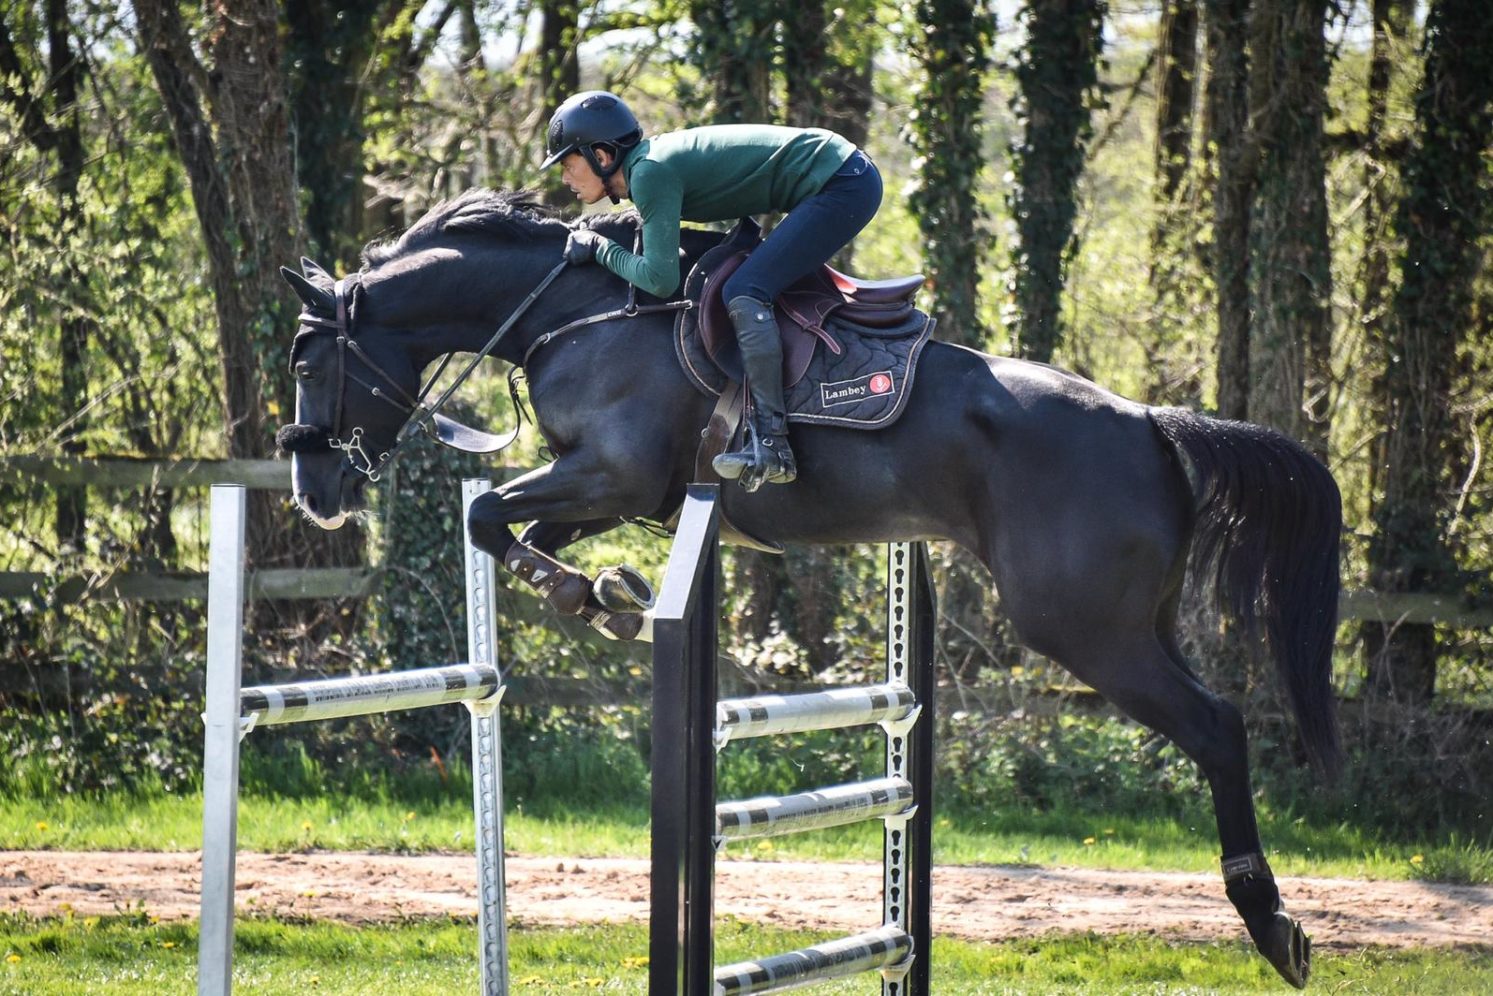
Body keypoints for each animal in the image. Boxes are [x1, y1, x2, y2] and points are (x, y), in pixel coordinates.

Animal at [277, 188, 1343, 991]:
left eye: (305, 359)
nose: (313, 494)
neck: (568, 310)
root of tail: (1151, 423)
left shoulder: (611, 474)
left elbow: (489, 515)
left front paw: (600, 597)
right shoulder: (620, 489)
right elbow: (516, 531)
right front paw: (604, 594)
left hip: (1084, 630)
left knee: (1215, 727)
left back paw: (1271, 925)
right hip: (1134, 620)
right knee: (1212, 716)